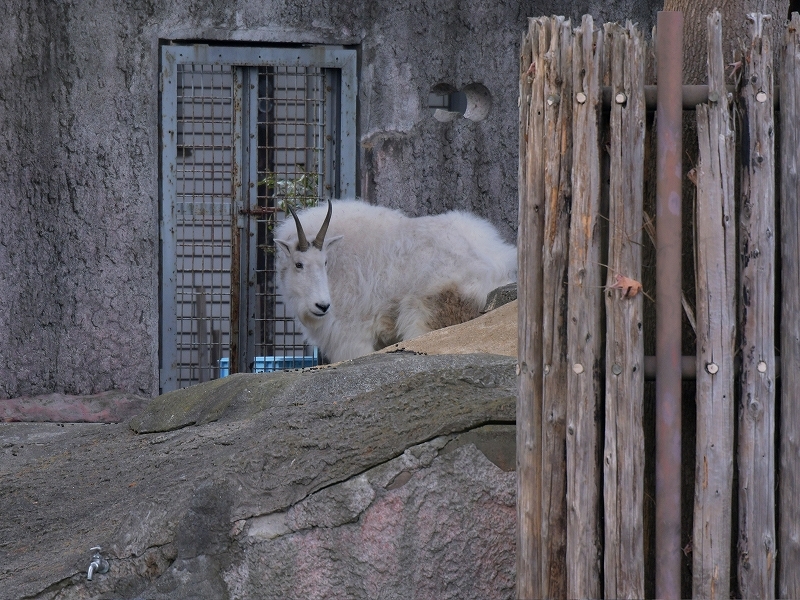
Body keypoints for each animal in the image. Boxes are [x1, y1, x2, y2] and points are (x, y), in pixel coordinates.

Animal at [272, 199, 516, 364]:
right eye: (298, 264)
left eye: (324, 262)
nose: (322, 306)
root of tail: (495, 267)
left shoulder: (352, 335)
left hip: (428, 315)